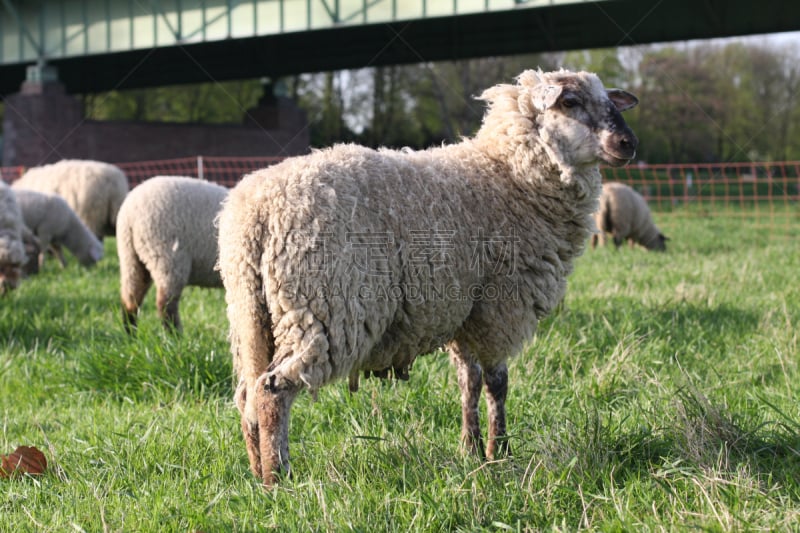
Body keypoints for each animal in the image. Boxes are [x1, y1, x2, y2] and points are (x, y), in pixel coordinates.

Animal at [115, 175, 230, 332]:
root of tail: (129, 213)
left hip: (131, 258)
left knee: (130, 300)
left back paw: (131, 333)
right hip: (168, 257)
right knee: (165, 304)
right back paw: (175, 335)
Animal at [216, 66, 640, 482]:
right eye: (569, 102)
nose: (627, 143)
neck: (508, 175)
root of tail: (255, 210)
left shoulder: (466, 309)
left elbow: (469, 380)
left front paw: (471, 450)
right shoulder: (501, 306)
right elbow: (497, 383)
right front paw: (499, 453)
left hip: (253, 314)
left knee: (247, 396)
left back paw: (257, 470)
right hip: (322, 307)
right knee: (272, 390)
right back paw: (279, 478)